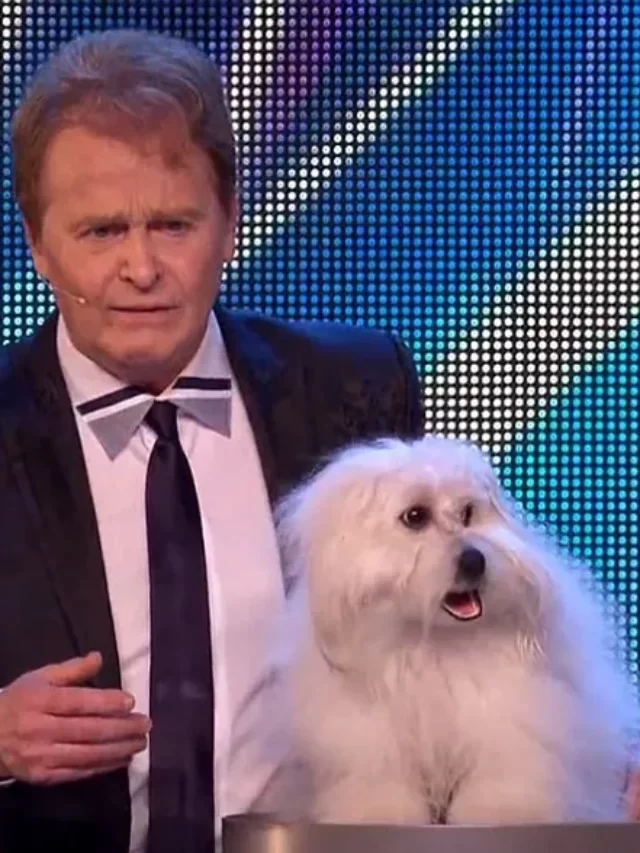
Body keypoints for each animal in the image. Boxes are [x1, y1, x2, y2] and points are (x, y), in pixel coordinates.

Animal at [272, 436, 640, 824]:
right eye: (415, 516)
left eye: (468, 513)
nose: (475, 561)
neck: (435, 640)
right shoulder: (374, 744)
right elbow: (381, 785)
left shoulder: (507, 724)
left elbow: (505, 777)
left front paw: (504, 812)